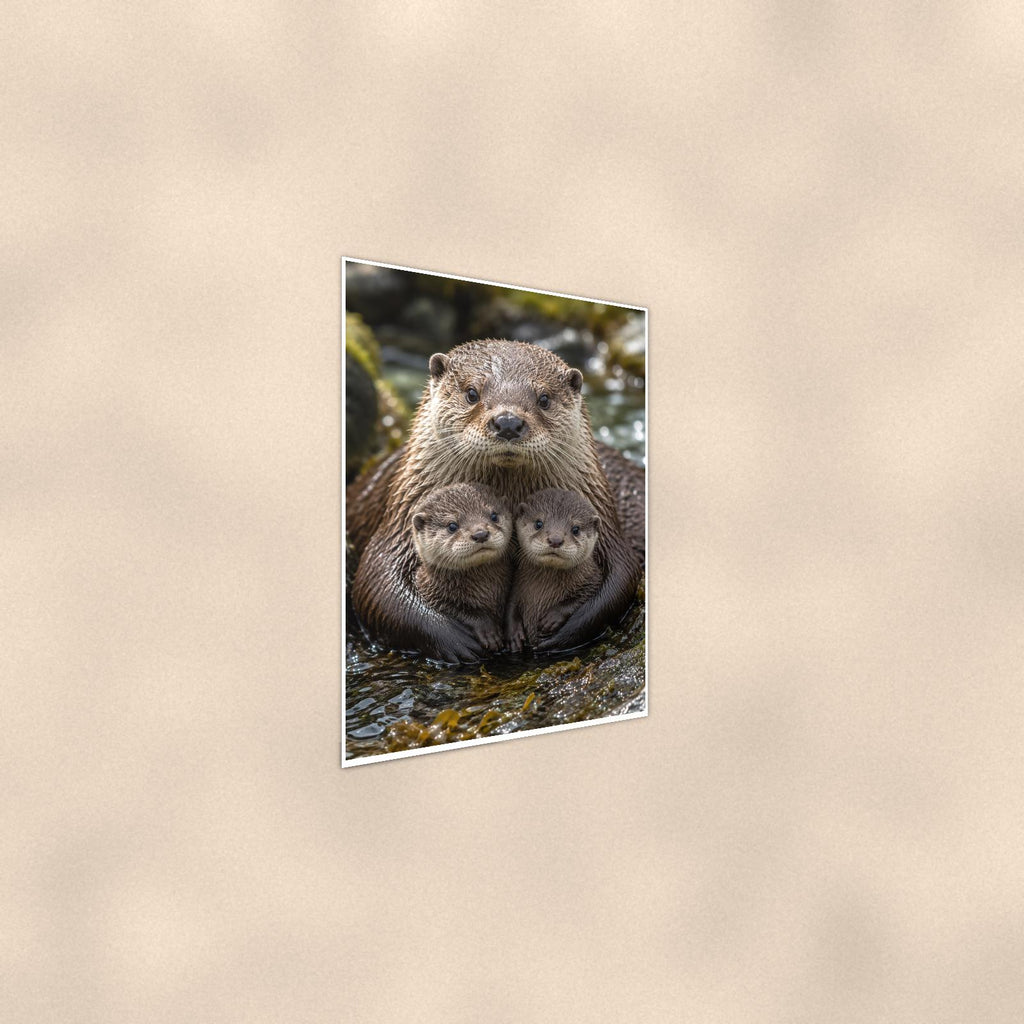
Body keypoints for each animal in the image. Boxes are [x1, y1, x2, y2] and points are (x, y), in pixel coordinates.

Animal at [410, 483, 512, 653]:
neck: (485, 589)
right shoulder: (431, 592)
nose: (480, 534)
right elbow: (459, 611)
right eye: (452, 525)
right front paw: (488, 632)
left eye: (494, 516)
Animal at [506, 489, 603, 652]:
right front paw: (514, 634)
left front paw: (552, 618)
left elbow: (582, 597)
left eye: (576, 529)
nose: (555, 540)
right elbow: (510, 607)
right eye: (538, 523)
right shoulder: (517, 584)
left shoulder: (593, 578)